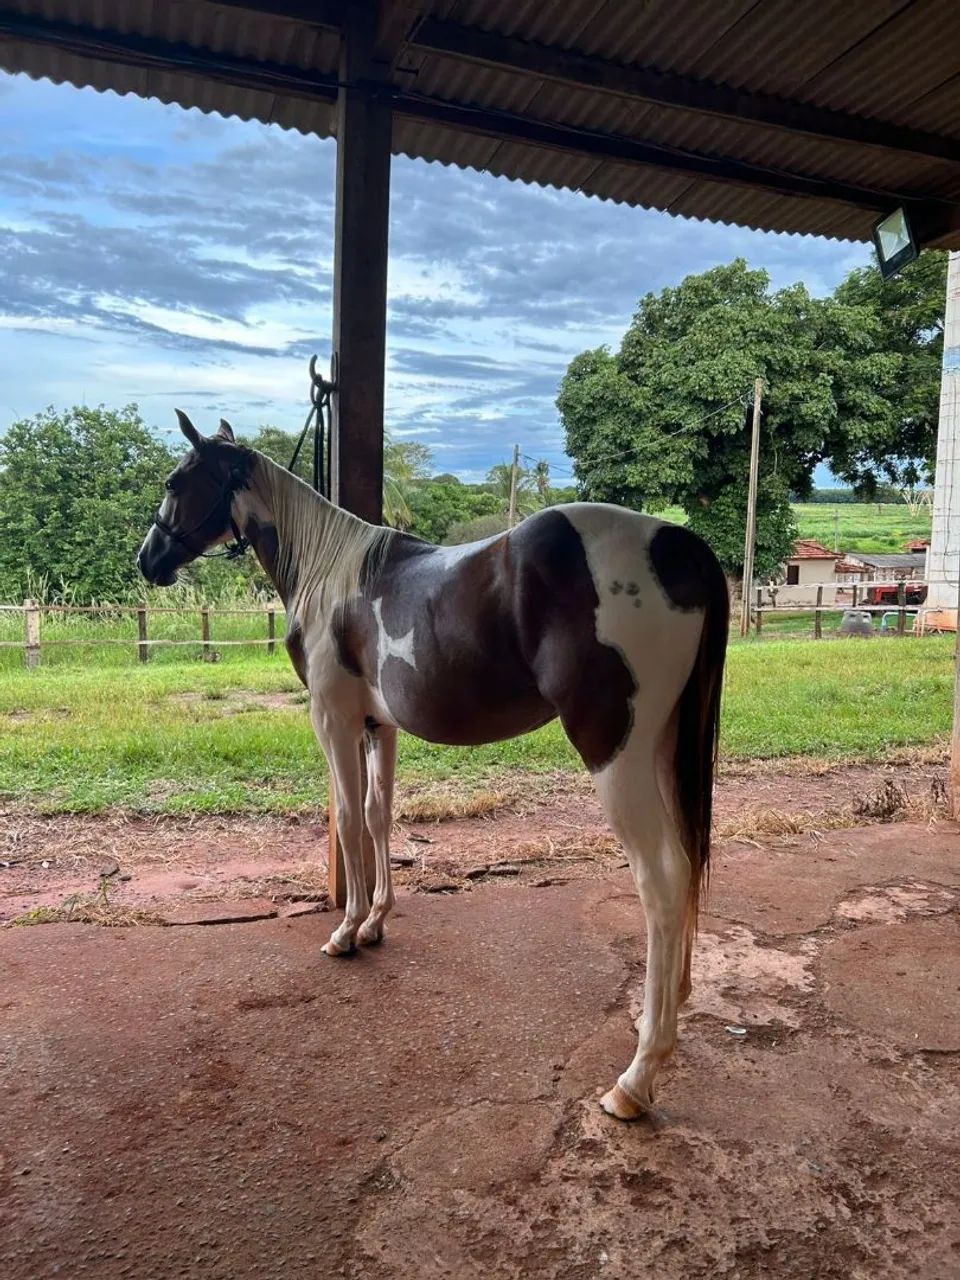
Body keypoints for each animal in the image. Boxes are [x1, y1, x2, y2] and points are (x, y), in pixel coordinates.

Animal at [138, 411, 729, 1120]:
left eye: (175, 481)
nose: (147, 558)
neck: (331, 571)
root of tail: (680, 545)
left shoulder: (333, 720)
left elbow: (346, 819)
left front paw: (345, 931)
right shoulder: (380, 726)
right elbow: (378, 815)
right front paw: (375, 921)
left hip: (616, 752)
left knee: (661, 880)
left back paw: (637, 1077)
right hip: (666, 746)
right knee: (689, 863)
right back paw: (671, 1005)